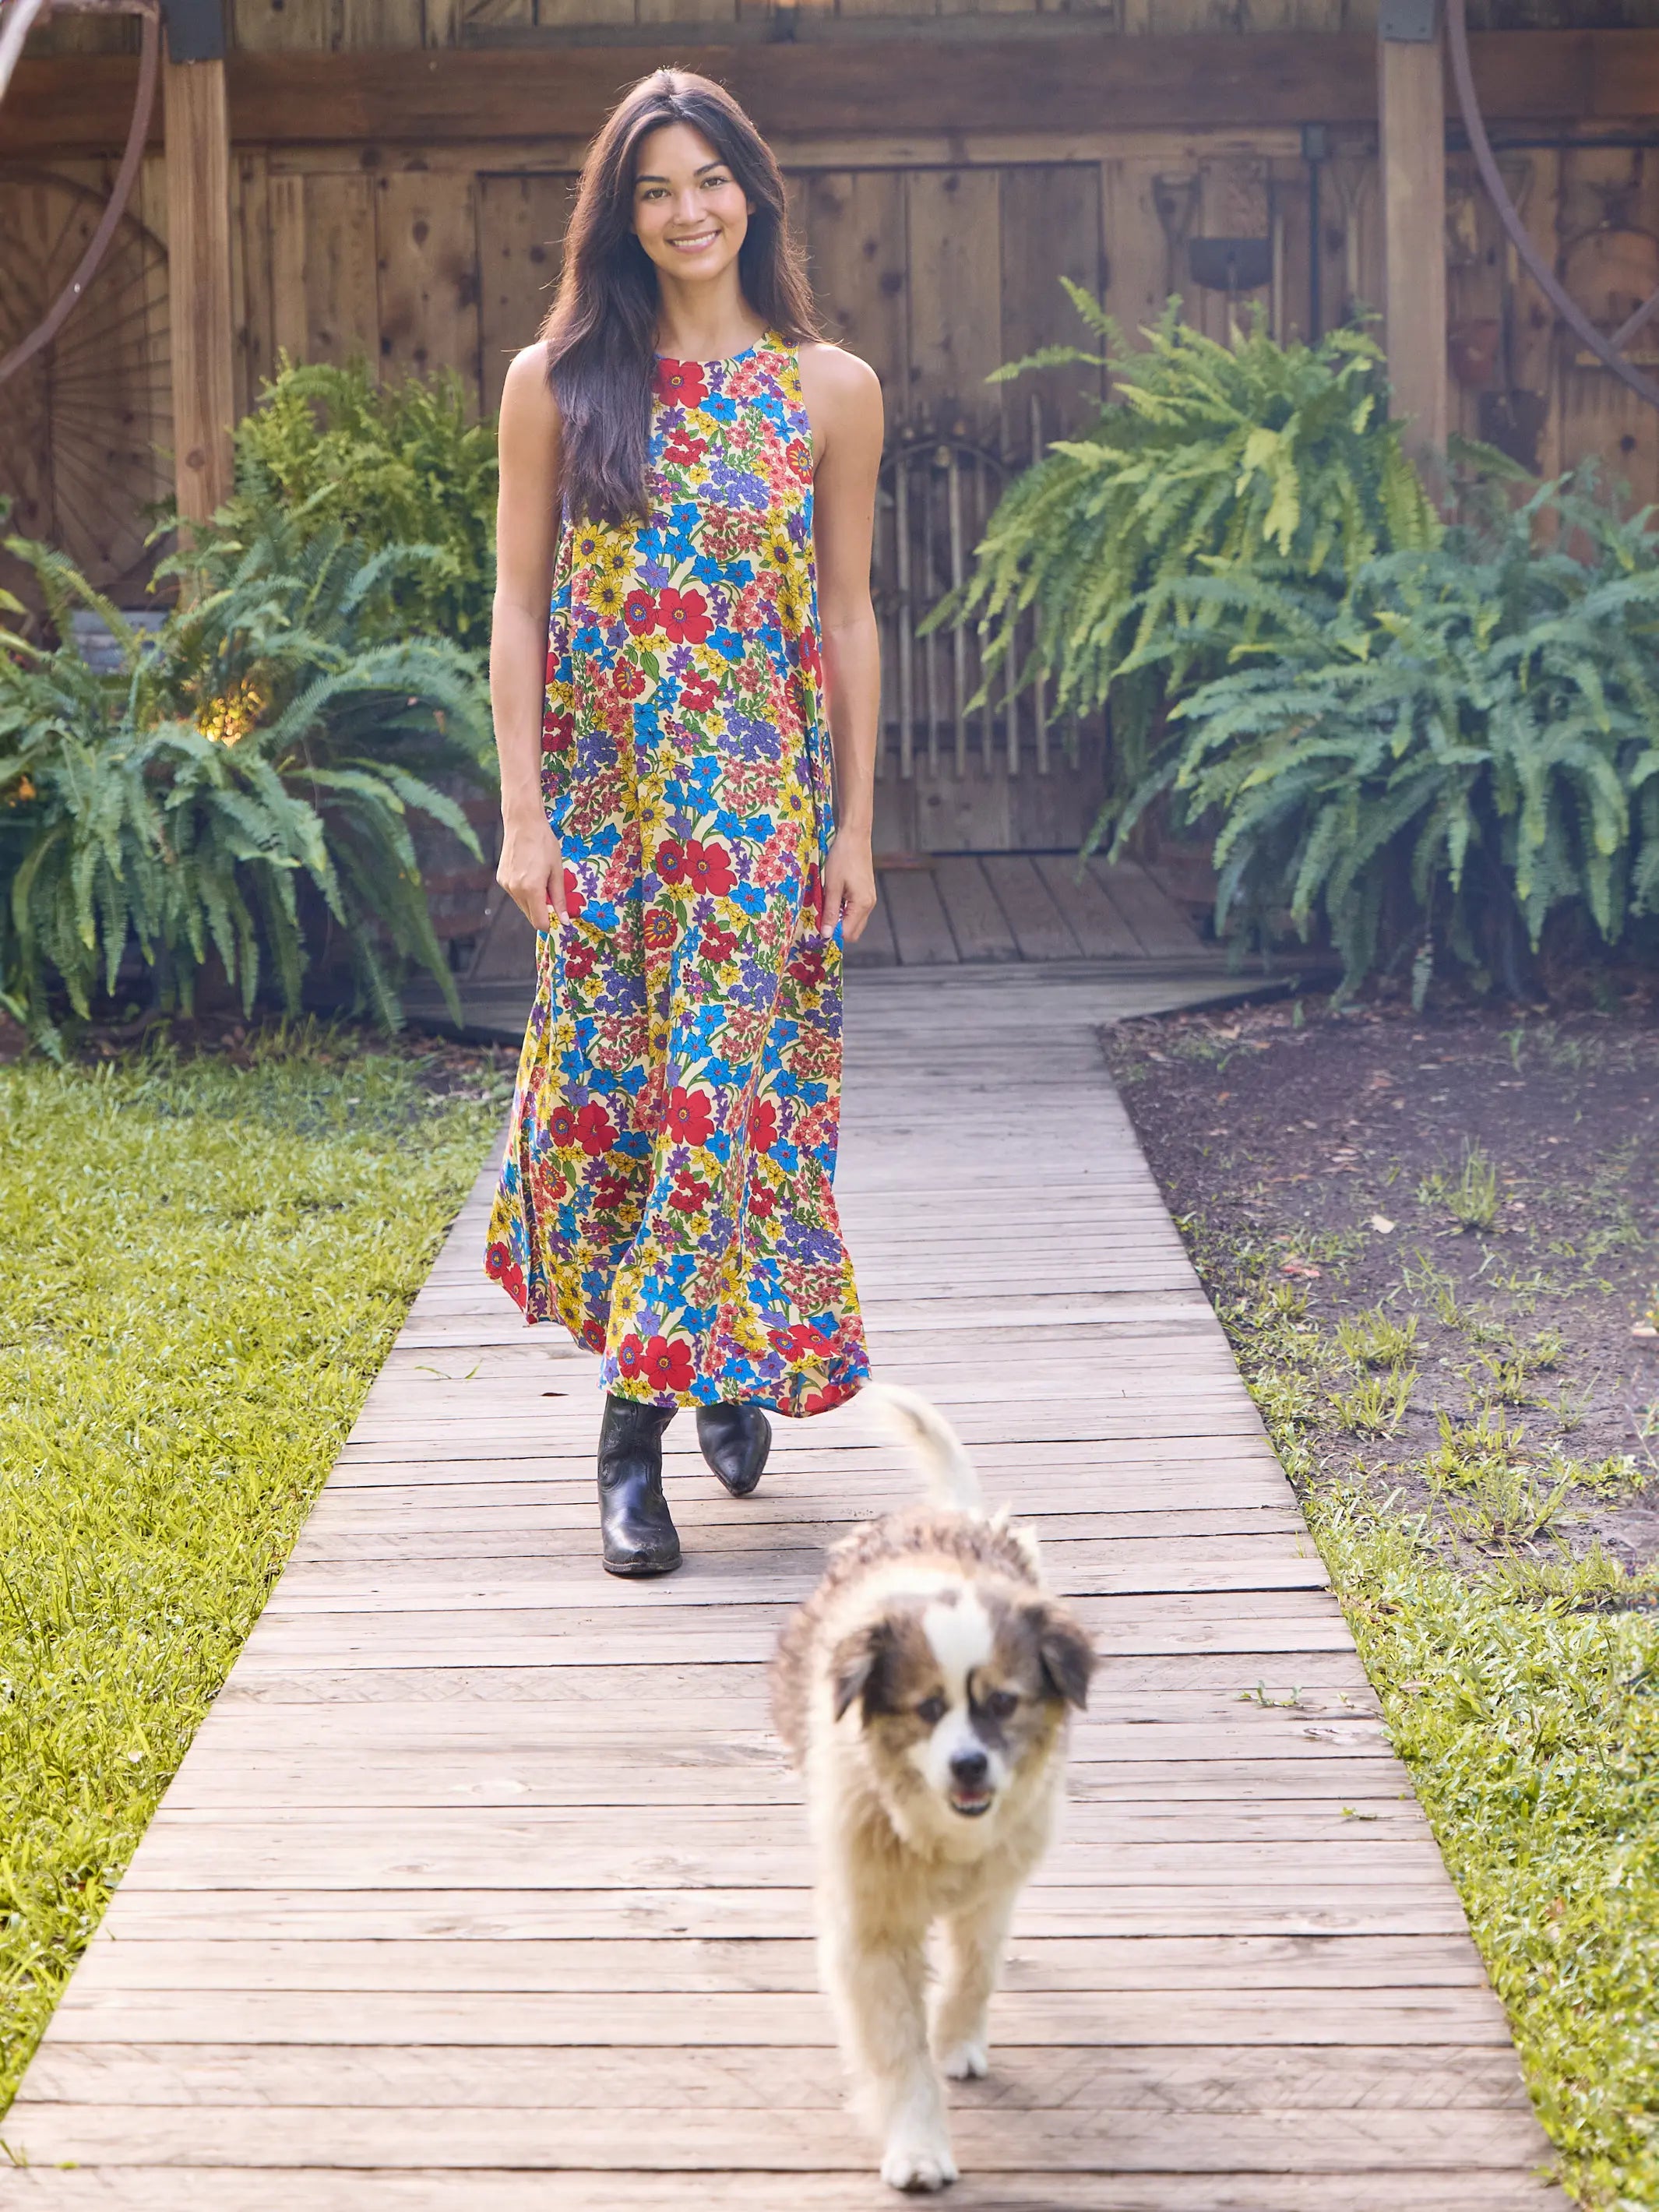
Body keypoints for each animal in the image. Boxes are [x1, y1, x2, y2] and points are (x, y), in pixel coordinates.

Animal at [774, 1389, 1097, 2185]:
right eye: (926, 1709)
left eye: (1003, 1703)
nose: (969, 1766)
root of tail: (947, 1518)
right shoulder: (869, 1921)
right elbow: (895, 2049)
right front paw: (918, 2148)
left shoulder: (992, 1884)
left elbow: (974, 1968)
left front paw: (957, 2041)